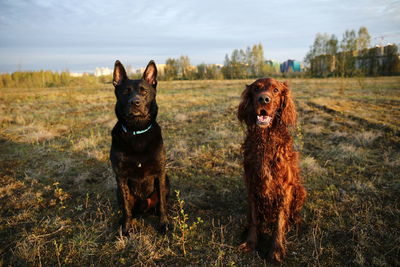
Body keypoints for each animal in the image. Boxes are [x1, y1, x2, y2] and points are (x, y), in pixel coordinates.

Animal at [110, 60, 170, 234]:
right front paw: (126, 227)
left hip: (167, 181)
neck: (137, 131)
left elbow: (162, 204)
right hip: (118, 191)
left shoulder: (160, 173)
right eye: (125, 92)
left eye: (144, 92)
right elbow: (126, 207)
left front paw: (164, 223)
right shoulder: (121, 177)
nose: (135, 103)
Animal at [238, 78, 306, 262]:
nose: (263, 99)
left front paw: (275, 249)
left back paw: (296, 222)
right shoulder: (252, 183)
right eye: (256, 89)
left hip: (300, 190)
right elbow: (254, 218)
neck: (266, 140)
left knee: (293, 213)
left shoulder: (284, 186)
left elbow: (280, 220)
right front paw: (251, 243)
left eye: (276, 90)